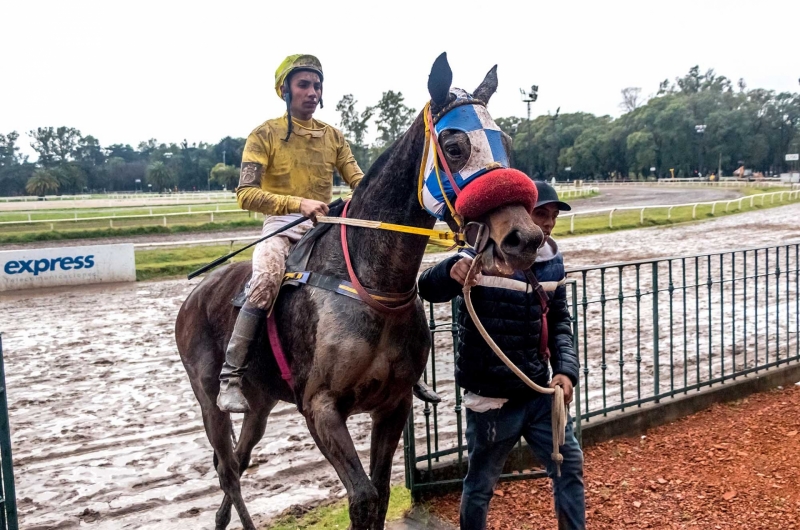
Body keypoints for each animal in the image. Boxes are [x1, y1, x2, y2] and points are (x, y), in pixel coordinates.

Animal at [175, 52, 544, 528]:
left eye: (509, 144)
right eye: (455, 146)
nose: (524, 238)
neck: (369, 284)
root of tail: (194, 296)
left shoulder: (394, 404)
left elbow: (381, 493)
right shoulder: (321, 407)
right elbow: (363, 497)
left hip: (260, 401)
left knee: (238, 460)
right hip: (210, 398)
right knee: (226, 467)